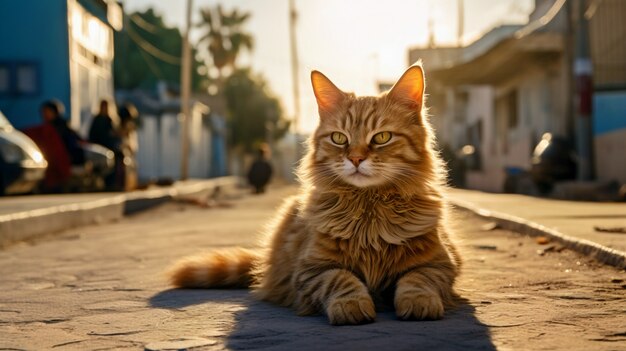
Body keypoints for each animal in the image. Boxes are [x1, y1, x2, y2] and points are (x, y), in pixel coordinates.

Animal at [168, 62, 460, 324]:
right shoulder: (312, 269)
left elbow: (418, 279)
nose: (355, 159)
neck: (369, 211)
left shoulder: (440, 263)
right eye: (339, 138)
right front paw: (352, 305)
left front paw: (419, 302)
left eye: (382, 137)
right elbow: (341, 280)